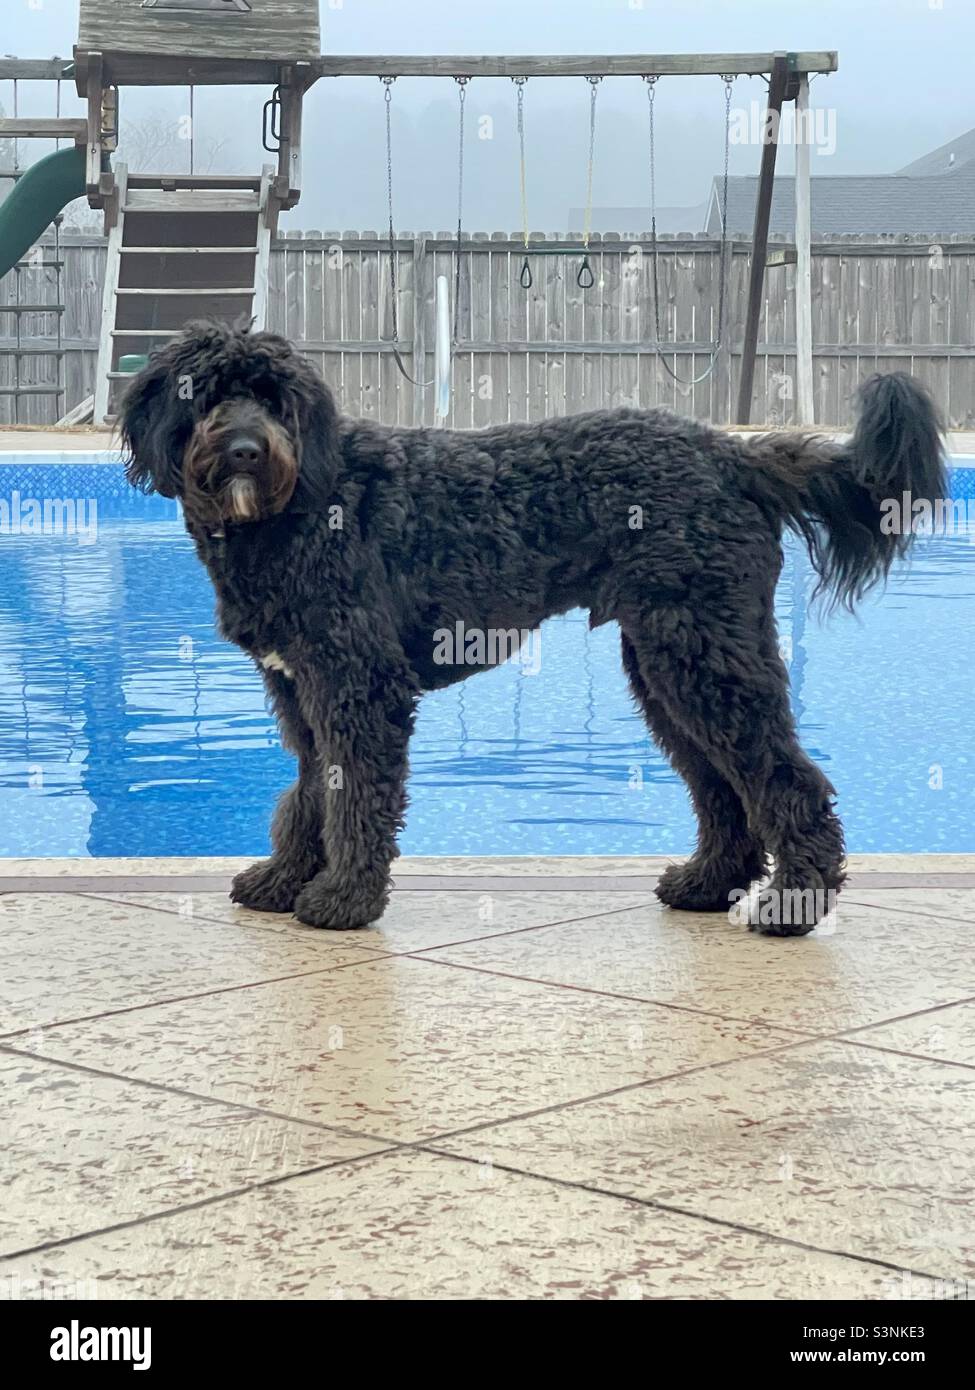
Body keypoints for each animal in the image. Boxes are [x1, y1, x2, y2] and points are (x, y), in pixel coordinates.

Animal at [119, 323, 945, 934]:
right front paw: (285, 879)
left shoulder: (359, 685)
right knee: (720, 786)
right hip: (668, 665)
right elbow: (307, 794)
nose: (246, 449)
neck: (302, 504)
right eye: (204, 393)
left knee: (785, 780)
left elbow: (354, 795)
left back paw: (792, 906)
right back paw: (706, 883)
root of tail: (733, 454)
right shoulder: (300, 689)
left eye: (276, 398)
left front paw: (342, 900)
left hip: (703, 655)